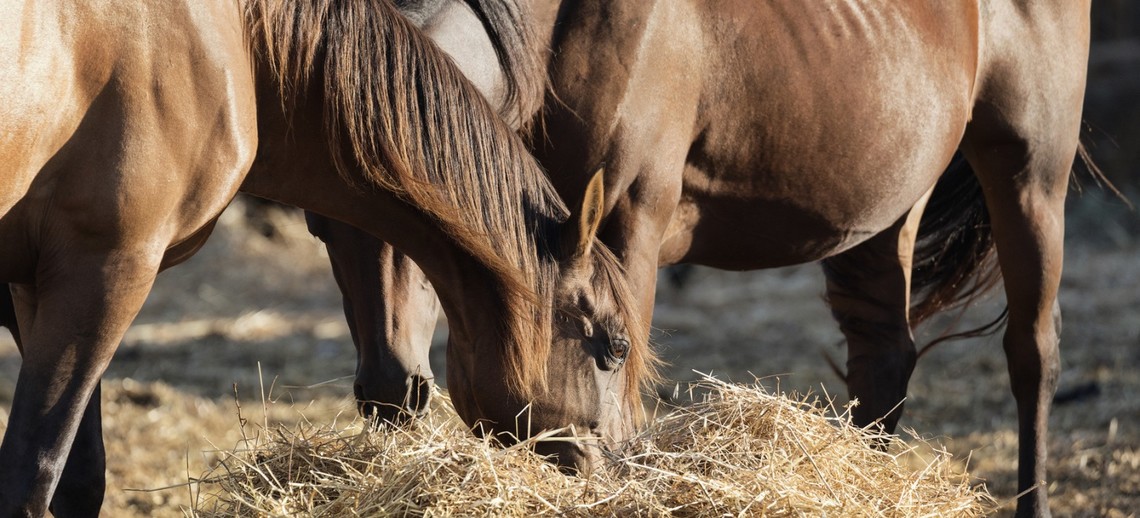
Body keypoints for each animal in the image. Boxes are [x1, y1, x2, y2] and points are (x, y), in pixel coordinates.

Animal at [0, 0, 652, 511]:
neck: (241, 44)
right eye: (615, 347)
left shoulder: (36, 285)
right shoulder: (106, 270)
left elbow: (79, 478)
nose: (624, 467)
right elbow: (33, 474)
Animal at [326, 2, 1089, 515]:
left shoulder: (623, 229)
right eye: (322, 230)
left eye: (423, 233)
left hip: (1030, 175)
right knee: (884, 360)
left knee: (1033, 355)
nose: (390, 393)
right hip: (887, 207)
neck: (551, 40)